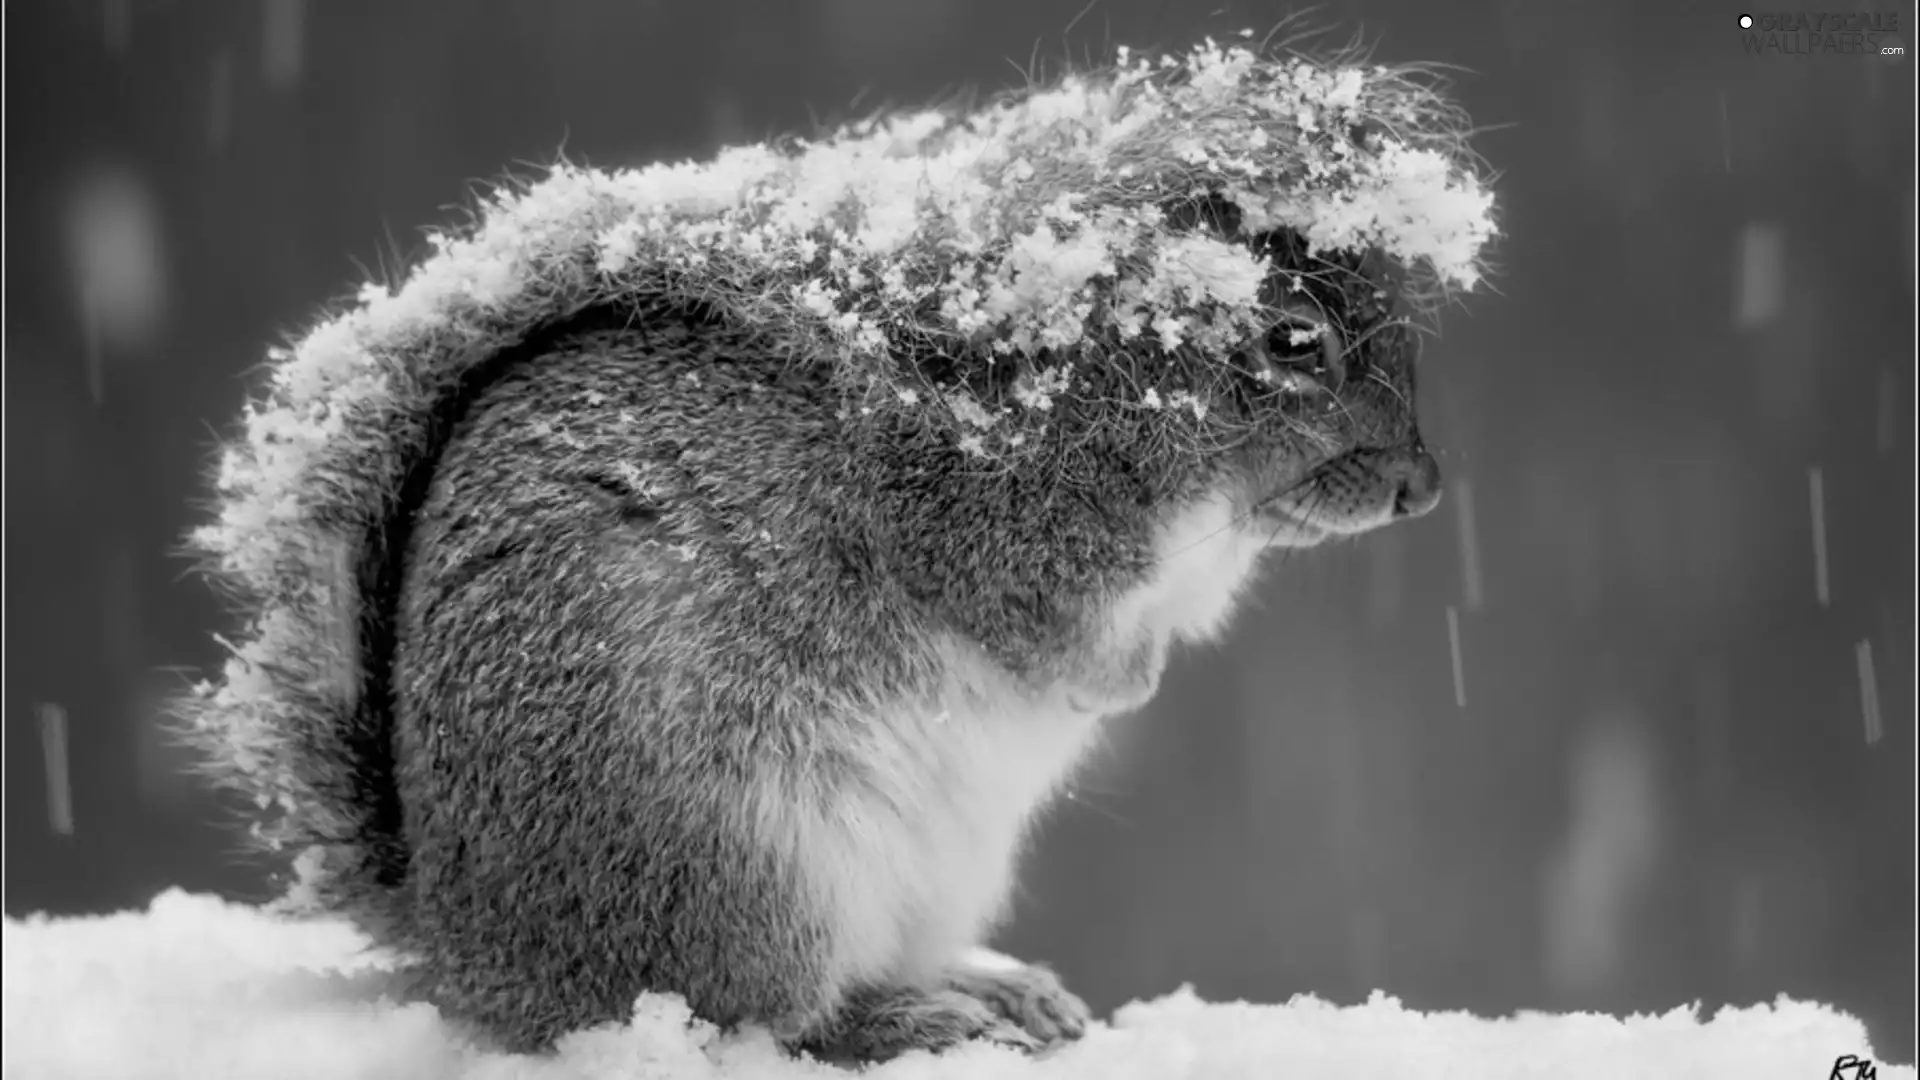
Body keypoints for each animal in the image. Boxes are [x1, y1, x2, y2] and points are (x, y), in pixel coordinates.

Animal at [176, 39, 1497, 1060]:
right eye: (1293, 340)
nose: (1422, 489)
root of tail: (476, 954)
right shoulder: (980, 527)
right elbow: (1040, 631)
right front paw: (1116, 684)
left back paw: (986, 986)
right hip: (743, 860)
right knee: (767, 1017)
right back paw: (904, 1022)